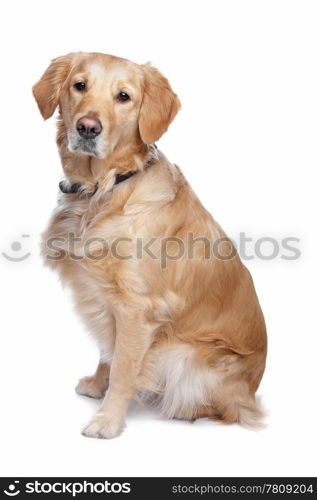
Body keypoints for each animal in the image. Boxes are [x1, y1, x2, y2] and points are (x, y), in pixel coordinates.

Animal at [32, 52, 266, 440]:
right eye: (79, 86)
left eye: (123, 97)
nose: (88, 127)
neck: (103, 188)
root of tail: (253, 387)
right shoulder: (107, 301)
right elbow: (108, 353)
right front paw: (96, 385)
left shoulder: (138, 309)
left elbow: (124, 367)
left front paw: (107, 420)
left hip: (187, 356)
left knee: (228, 409)